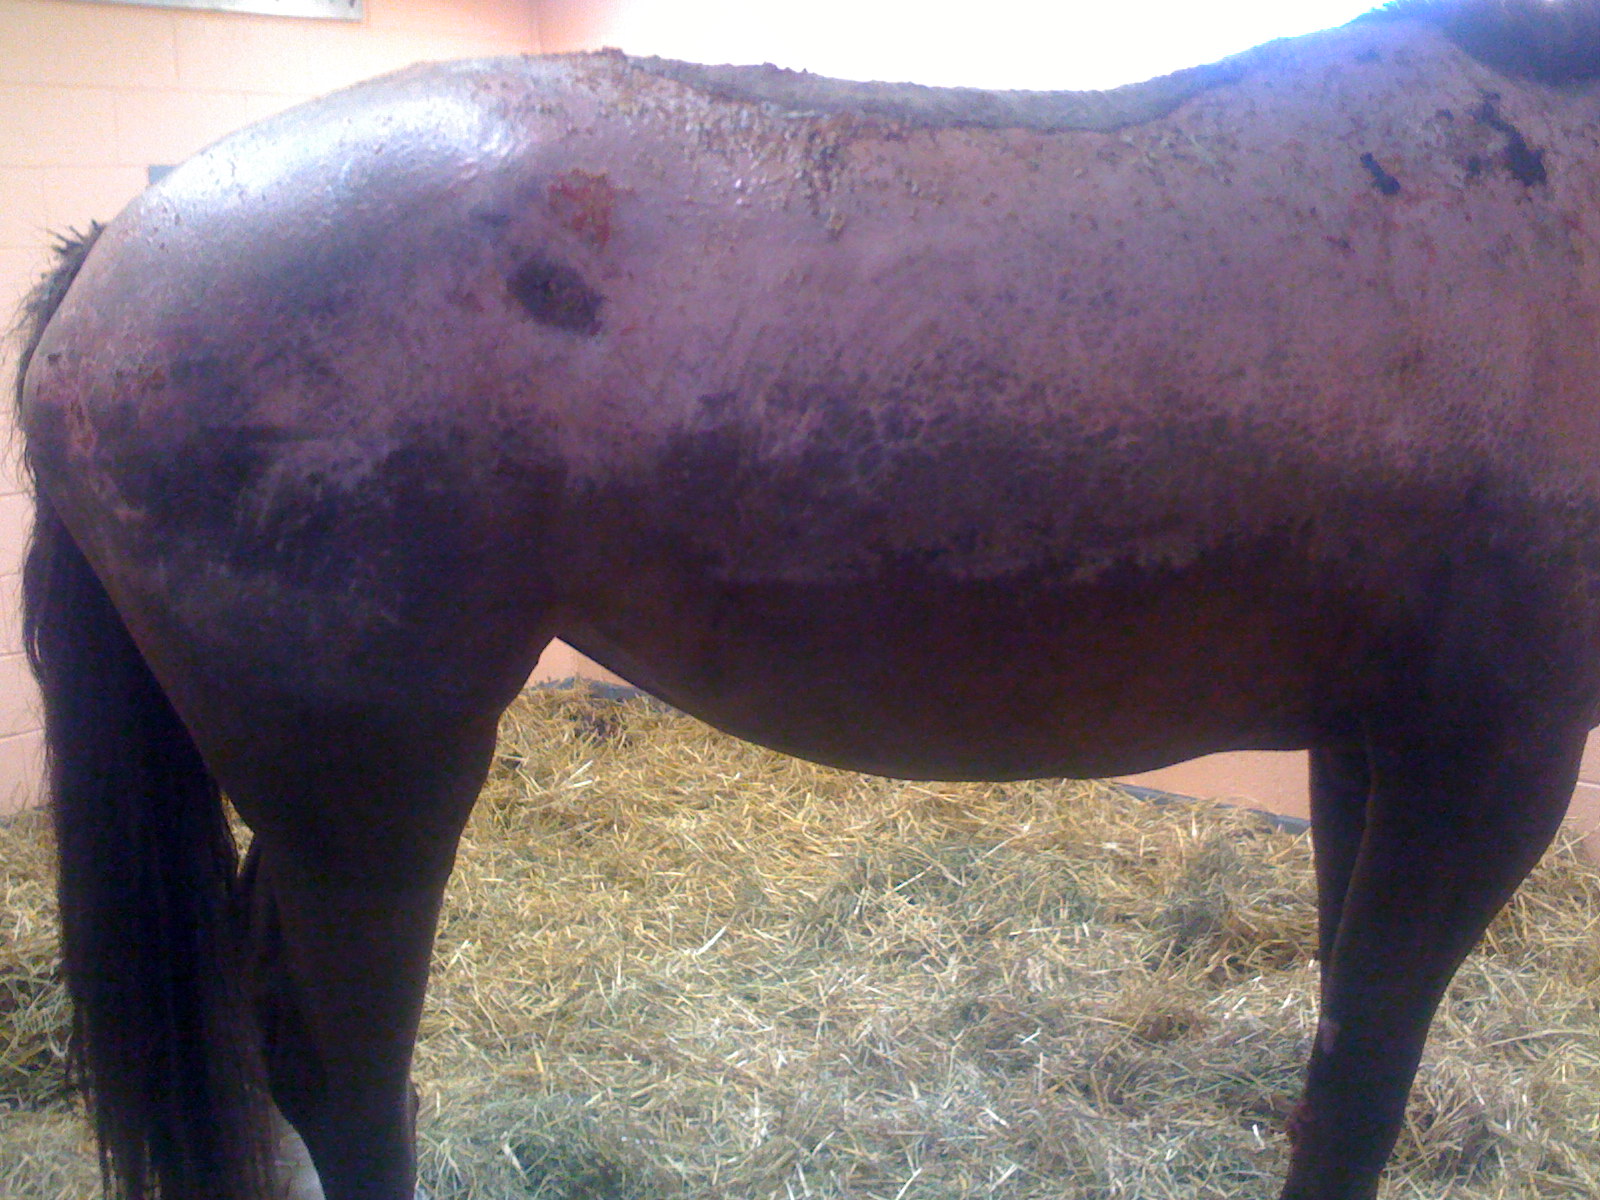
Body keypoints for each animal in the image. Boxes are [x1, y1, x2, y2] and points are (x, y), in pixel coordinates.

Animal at [14, 1, 1600, 1197]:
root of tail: (115, 259)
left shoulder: (1371, 742)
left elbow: (1343, 1036)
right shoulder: (1489, 759)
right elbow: (1363, 1076)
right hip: (374, 791)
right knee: (338, 1068)